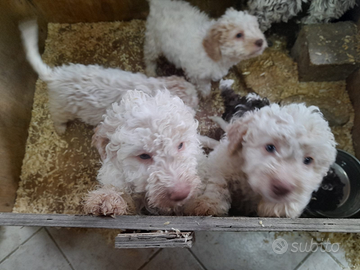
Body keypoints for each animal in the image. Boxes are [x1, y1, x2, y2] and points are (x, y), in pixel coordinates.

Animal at [193, 102, 336, 218]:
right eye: (270, 147)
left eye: (308, 160)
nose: (282, 187)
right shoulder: (222, 163)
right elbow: (219, 184)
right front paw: (210, 204)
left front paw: (276, 208)